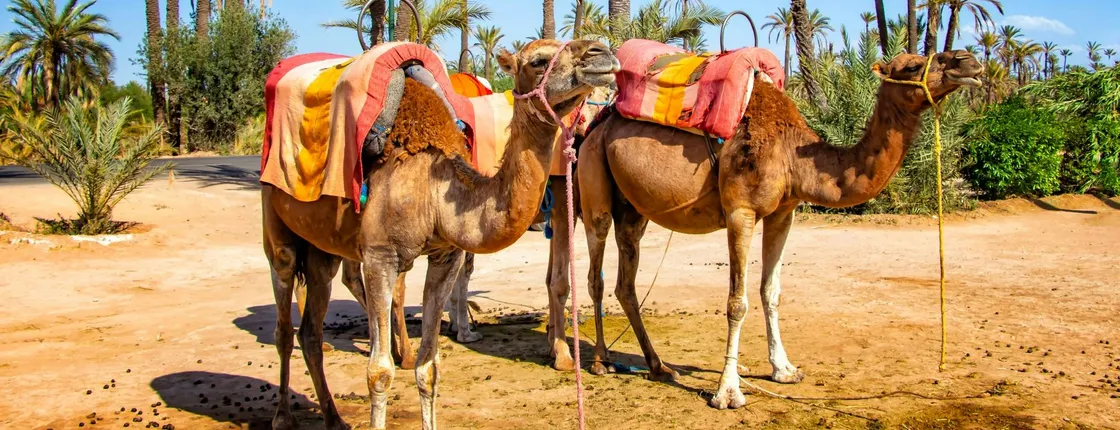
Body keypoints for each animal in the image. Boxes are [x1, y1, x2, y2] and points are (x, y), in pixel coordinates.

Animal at [263, 39, 619, 430]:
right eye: (539, 61)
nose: (601, 52)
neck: (432, 189)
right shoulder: (380, 256)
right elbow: (379, 372)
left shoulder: (445, 254)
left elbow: (429, 368)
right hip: (276, 222)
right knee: (284, 316)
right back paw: (282, 416)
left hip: (321, 248)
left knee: (311, 326)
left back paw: (334, 417)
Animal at [572, 50, 982, 409]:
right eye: (913, 65)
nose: (969, 61)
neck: (792, 153)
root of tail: (595, 124)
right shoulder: (740, 211)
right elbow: (737, 302)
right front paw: (728, 392)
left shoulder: (784, 213)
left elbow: (771, 292)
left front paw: (784, 369)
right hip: (594, 184)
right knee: (596, 273)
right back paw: (602, 362)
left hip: (633, 209)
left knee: (626, 283)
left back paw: (658, 366)